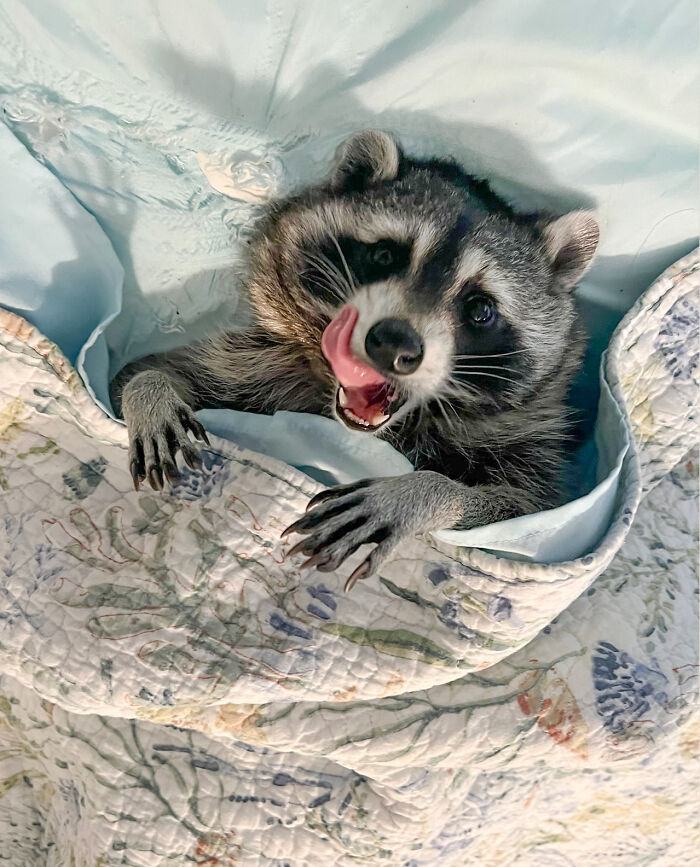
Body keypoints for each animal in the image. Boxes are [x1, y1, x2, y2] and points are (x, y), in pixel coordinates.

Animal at [111, 130, 599, 590]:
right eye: (384, 255)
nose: (393, 344)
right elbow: (139, 375)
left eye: (480, 309)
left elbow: (517, 519)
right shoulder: (261, 360)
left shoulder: (529, 457)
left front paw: (423, 492)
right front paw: (149, 392)